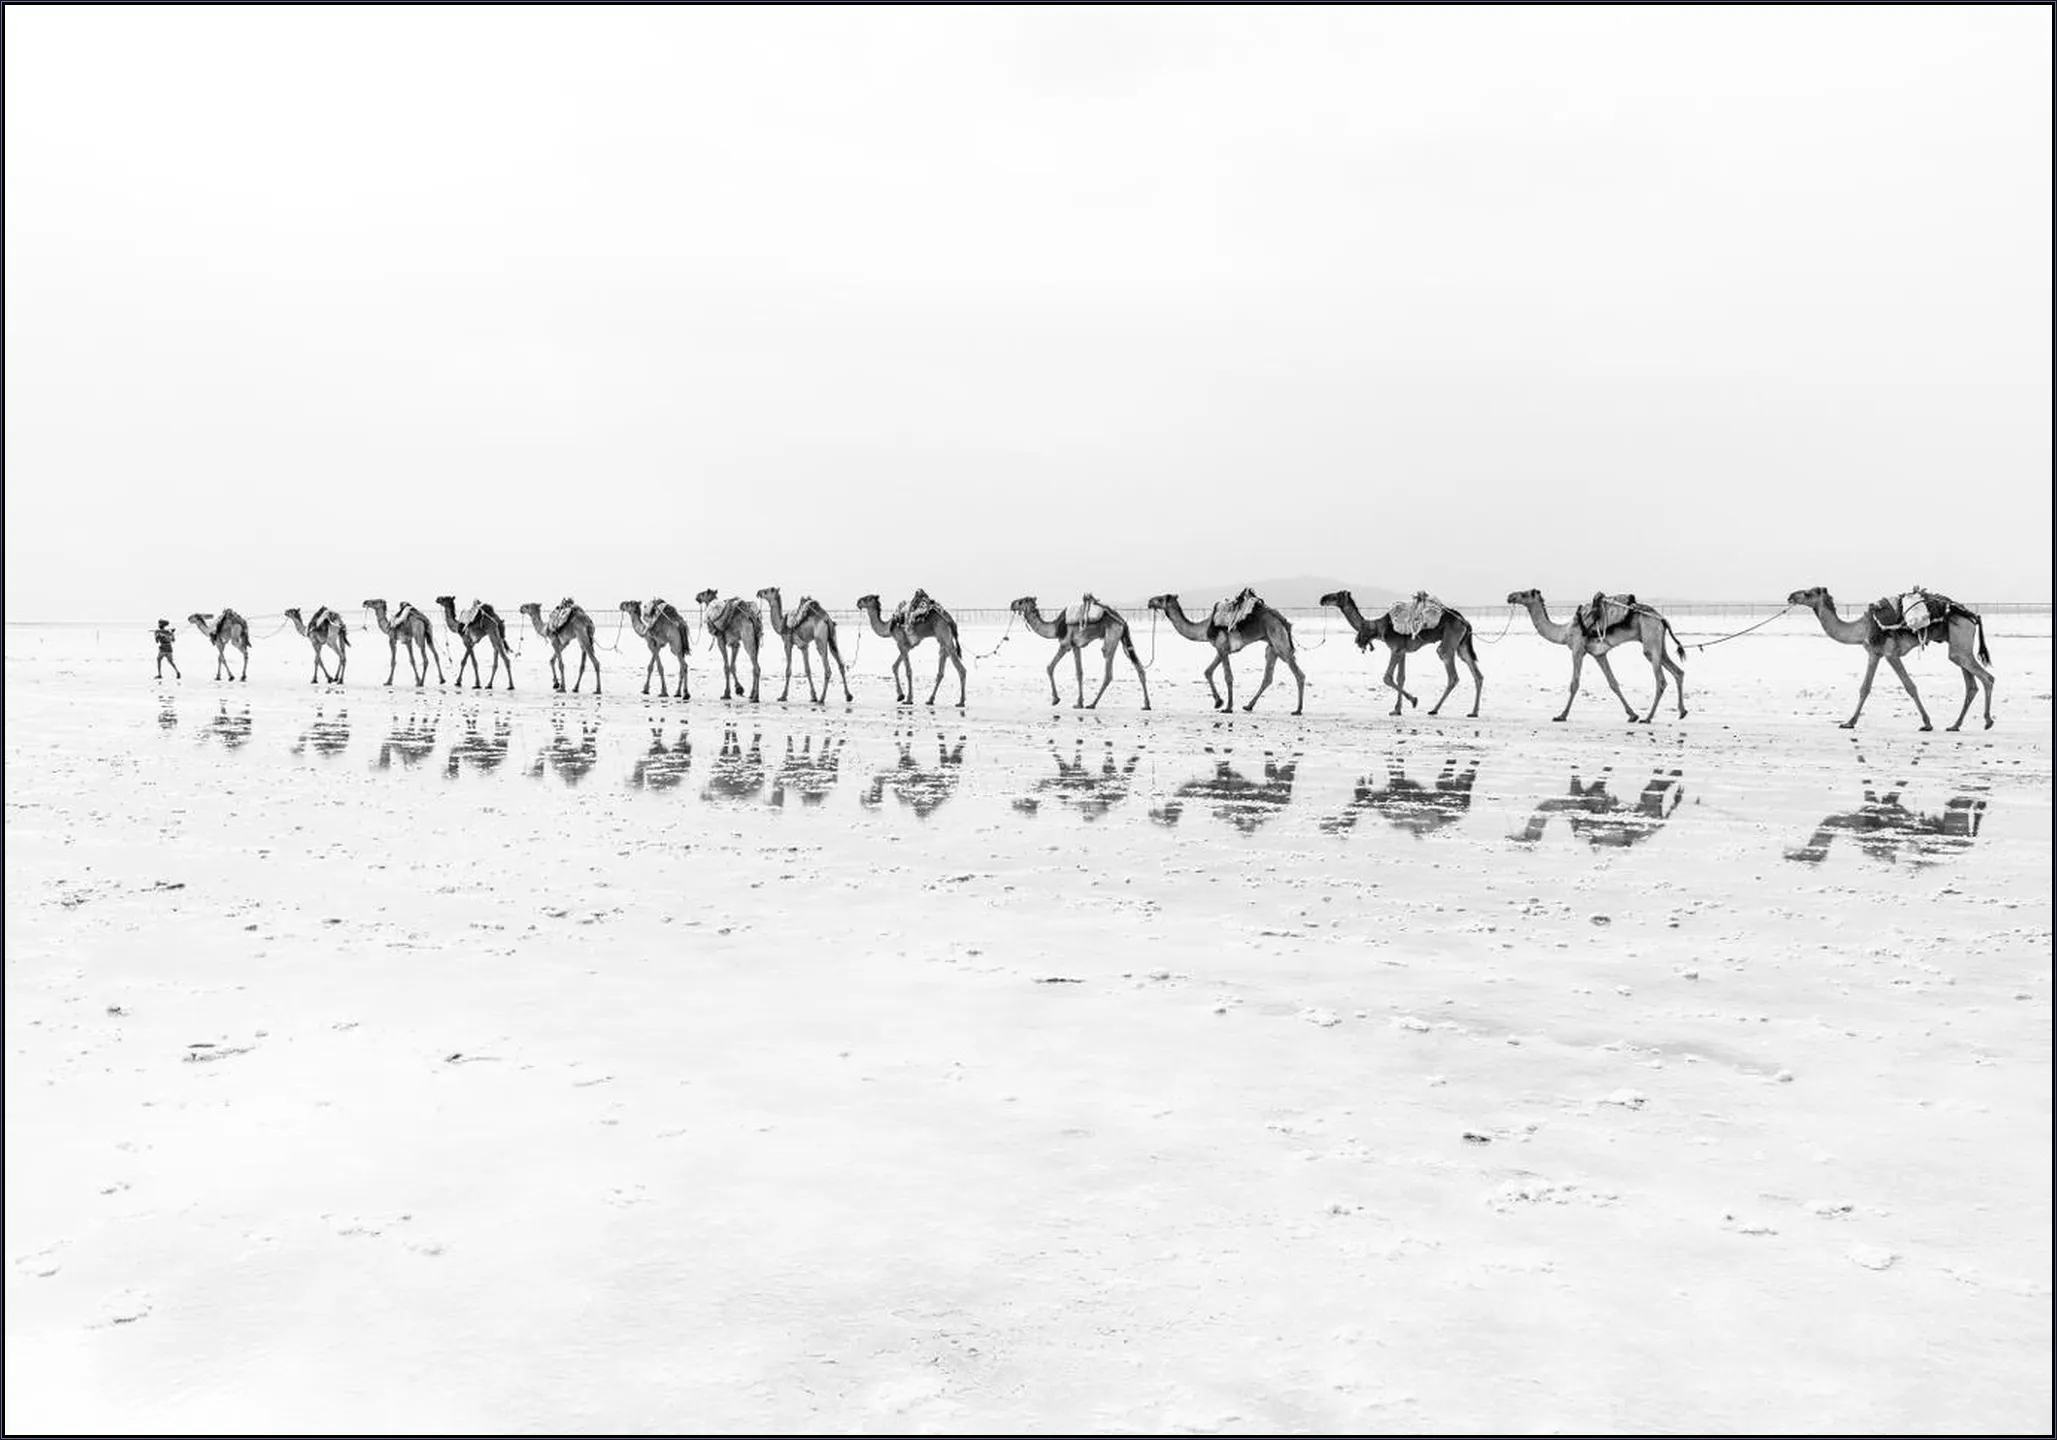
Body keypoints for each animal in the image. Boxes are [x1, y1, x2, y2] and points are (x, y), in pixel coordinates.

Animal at [1009, 596, 1151, 710]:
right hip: (1123, 638)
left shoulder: (1066, 644)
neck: (1056, 628)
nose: (1011, 604)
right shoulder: (1076, 646)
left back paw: (1092, 704)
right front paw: (1077, 702)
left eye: (1021, 601)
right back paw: (1146, 705)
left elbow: (1051, 667)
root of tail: (1122, 621)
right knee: (1139, 668)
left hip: (1112, 636)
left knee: (1108, 671)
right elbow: (1079, 672)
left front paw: (1058, 700)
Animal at [1145, 592, 1305, 715]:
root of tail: (1282, 619)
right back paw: (1248, 706)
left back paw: (1298, 710)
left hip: (1279, 641)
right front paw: (1218, 702)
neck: (1205, 627)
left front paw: (1227, 707)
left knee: (1299, 674)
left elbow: (1228, 677)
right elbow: (1208, 671)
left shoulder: (1221, 647)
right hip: (1272, 647)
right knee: (1268, 677)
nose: (1149, 601)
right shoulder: (1221, 649)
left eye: (1161, 598)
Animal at [1319, 592, 1482, 718]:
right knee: (1477, 674)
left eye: (1336, 595)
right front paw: (1397, 710)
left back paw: (1434, 710)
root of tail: (1465, 621)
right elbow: (1401, 678)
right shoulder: (1402, 651)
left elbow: (1387, 677)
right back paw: (1473, 712)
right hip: (1462, 646)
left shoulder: (1395, 649)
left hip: (1449, 643)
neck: (1377, 627)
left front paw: (1414, 701)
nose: (1322, 599)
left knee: (1451, 672)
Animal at [1505, 590, 1686, 724]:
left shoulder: (1577, 649)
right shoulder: (1599, 654)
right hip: (1658, 643)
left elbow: (1574, 684)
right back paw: (1682, 712)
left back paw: (1648, 718)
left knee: (1661, 680)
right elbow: (1613, 683)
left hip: (1650, 638)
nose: (1510, 596)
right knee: (1678, 671)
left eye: (1525, 594)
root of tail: (1662, 619)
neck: (1565, 632)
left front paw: (1561, 716)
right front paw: (1632, 715)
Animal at [1787, 587, 1994, 732]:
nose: (1790, 596)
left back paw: (1988, 721)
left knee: (1987, 678)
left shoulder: (1890, 654)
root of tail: (1972, 616)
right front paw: (1849, 722)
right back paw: (1955, 725)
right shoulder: (1874, 653)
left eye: (1807, 593)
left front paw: (1927, 724)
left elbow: (1910, 686)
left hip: (1960, 641)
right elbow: (1864, 688)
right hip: (1959, 646)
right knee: (1971, 685)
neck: (1863, 628)